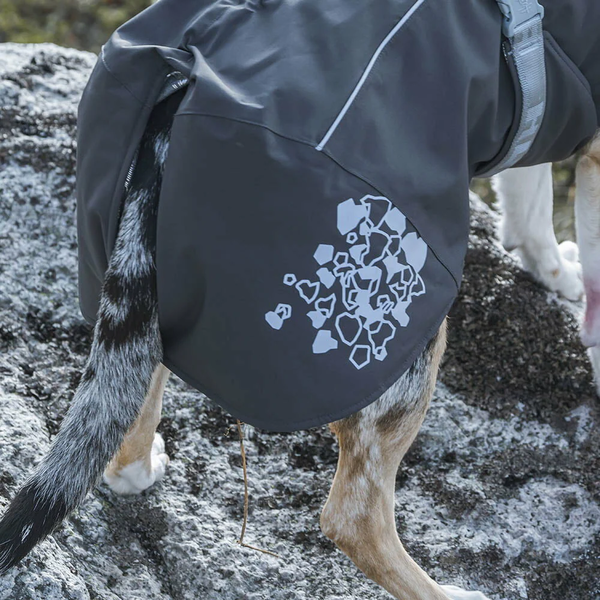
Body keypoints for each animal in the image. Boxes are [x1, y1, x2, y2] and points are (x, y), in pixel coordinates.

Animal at [1, 1, 600, 598]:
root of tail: (182, 87)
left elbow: (531, 202)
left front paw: (553, 270)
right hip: (405, 338)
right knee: (353, 517)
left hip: (139, 280)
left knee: (127, 420)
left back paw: (142, 465)